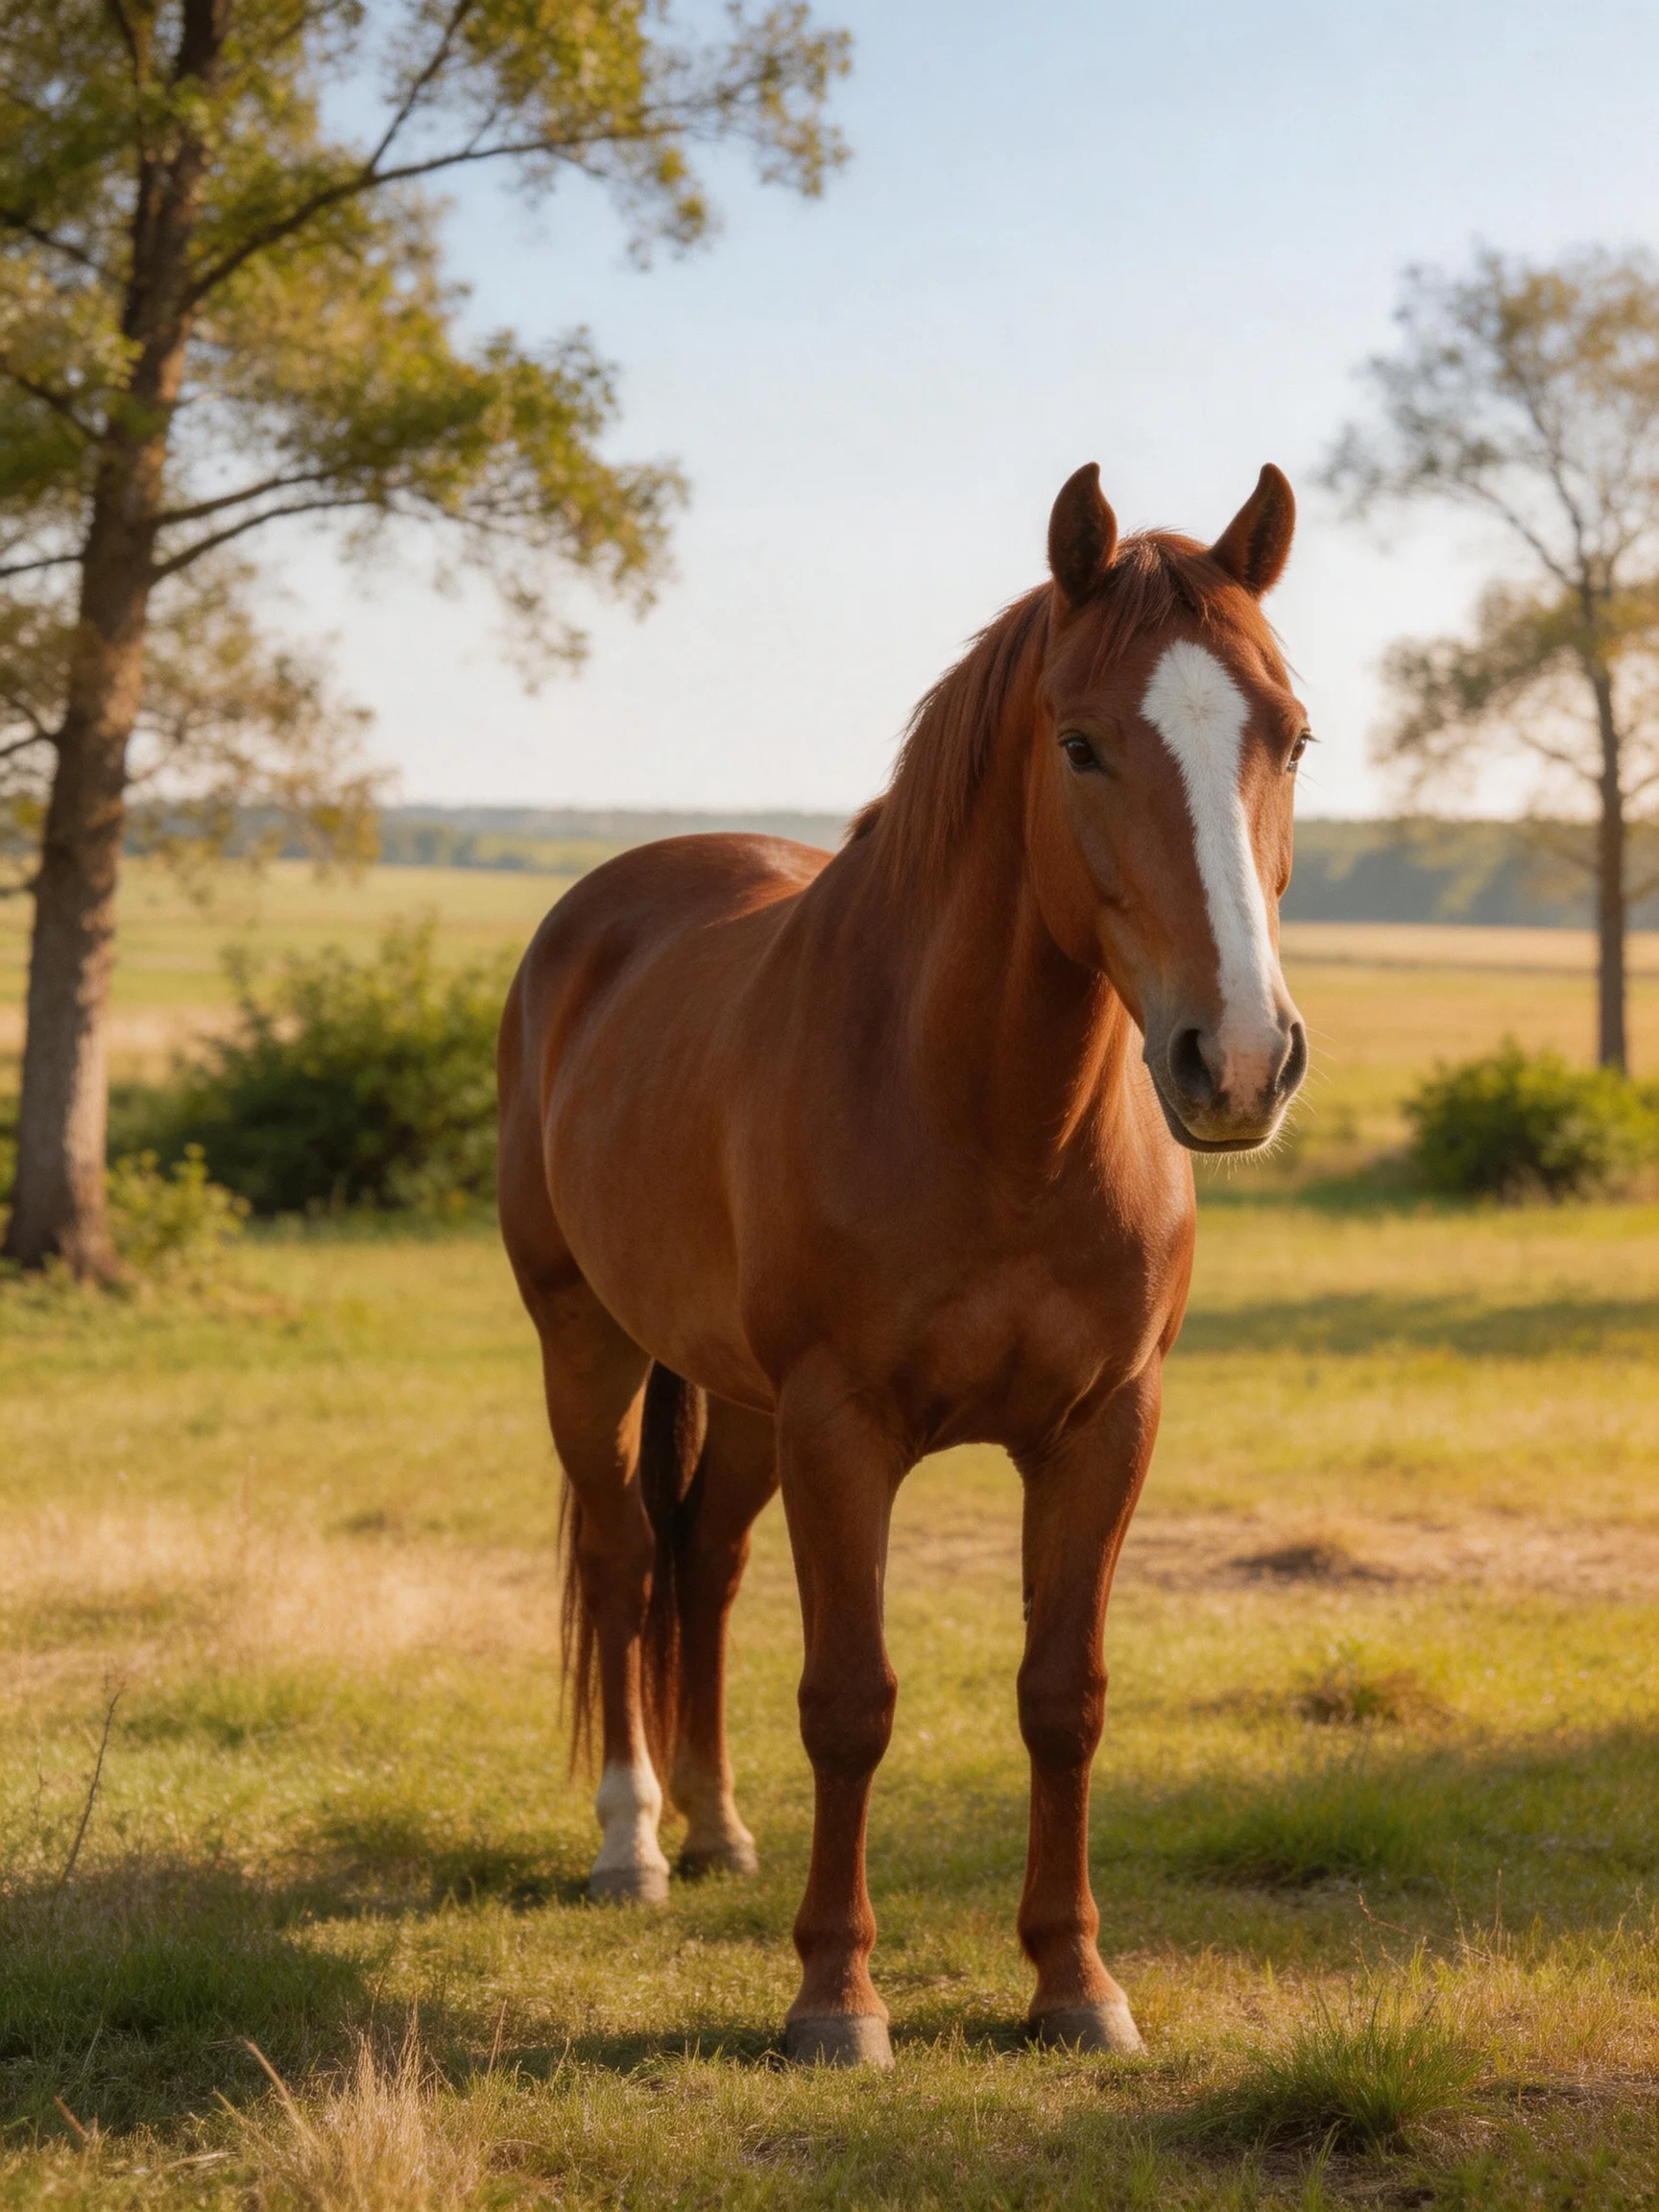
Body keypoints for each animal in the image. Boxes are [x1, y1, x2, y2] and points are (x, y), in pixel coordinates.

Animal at [497, 460, 1309, 2066]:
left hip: (740, 1403)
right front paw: (836, 1996)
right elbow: (851, 1701)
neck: (987, 1115)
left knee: (705, 1562)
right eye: (1081, 744)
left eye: (1291, 734)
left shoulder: (1103, 1427)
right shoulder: (844, 1427)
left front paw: (1075, 1983)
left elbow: (1064, 1699)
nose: (1240, 1061)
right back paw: (633, 1845)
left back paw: (718, 1829)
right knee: (625, 1561)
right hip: (590, 1348)